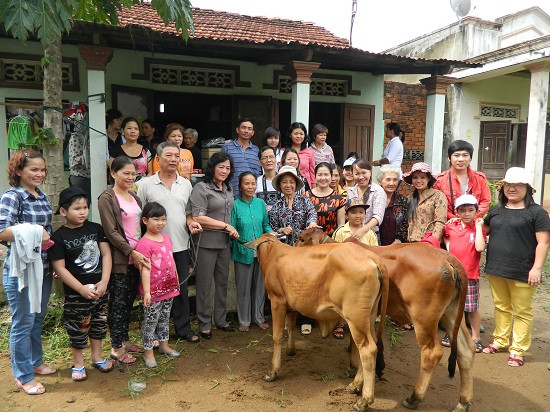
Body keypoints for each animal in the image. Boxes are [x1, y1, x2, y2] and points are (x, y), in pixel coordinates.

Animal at [245, 233, 389, 412]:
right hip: (369, 315)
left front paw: (272, 371)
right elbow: (290, 327)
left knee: (367, 350)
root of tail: (372, 257)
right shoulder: (291, 306)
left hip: (355, 318)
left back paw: (364, 400)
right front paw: (291, 350)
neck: (273, 253)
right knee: (372, 346)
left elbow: (277, 336)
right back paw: (355, 385)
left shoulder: (277, 301)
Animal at [295, 228, 475, 412]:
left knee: (431, 353)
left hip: (423, 318)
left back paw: (414, 397)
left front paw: (354, 371)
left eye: (301, 239)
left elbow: (360, 345)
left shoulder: (355, 314)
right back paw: (463, 402)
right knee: (466, 349)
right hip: (451, 314)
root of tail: (448, 258)